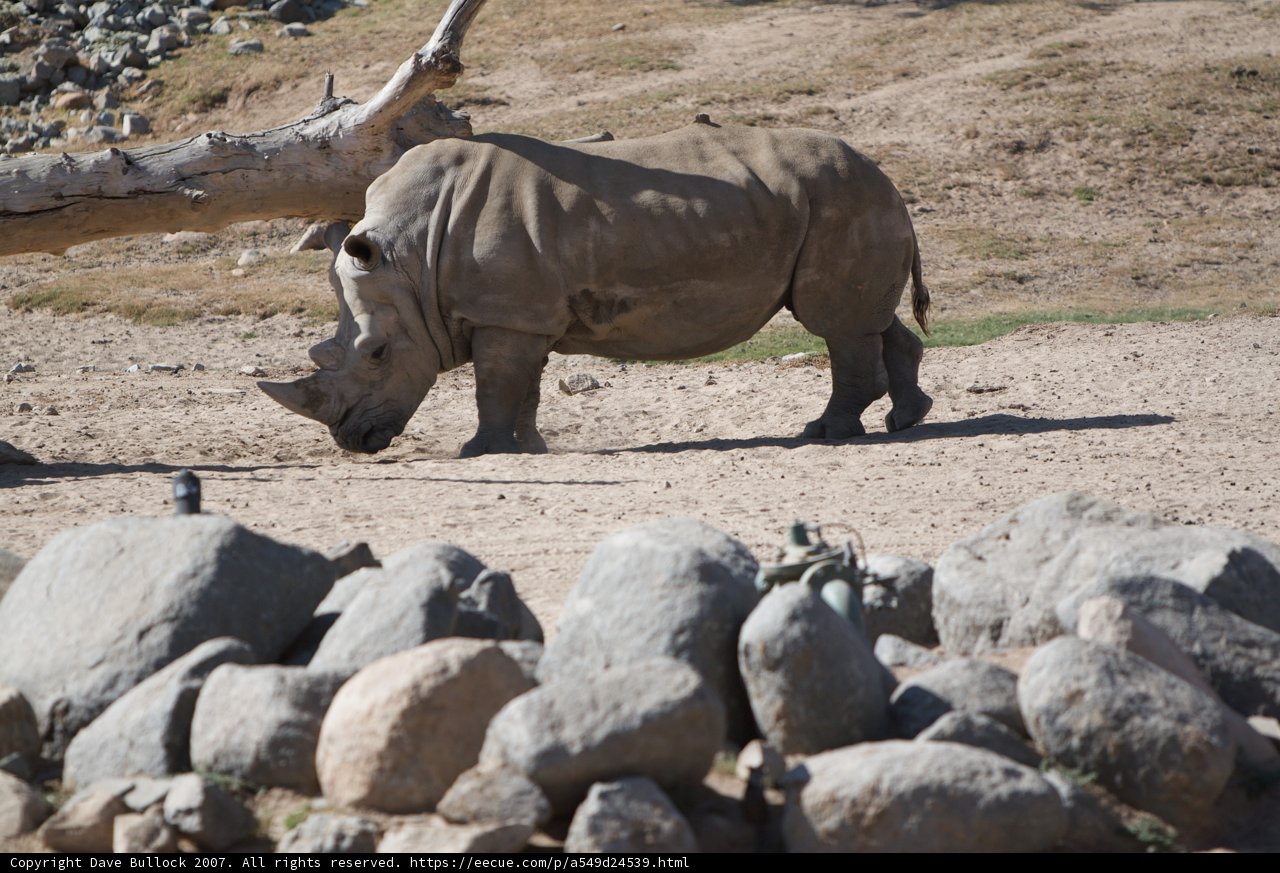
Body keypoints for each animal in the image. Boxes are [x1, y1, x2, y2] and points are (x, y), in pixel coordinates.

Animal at [260, 122, 934, 456]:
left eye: (376, 354)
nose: (352, 442)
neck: (410, 260)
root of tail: (885, 174)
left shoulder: (505, 314)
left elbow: (495, 385)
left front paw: (480, 454)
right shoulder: (522, 314)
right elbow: (521, 387)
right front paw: (529, 449)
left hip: (843, 198)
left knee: (836, 322)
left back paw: (826, 434)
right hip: (840, 200)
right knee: (867, 318)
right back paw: (906, 420)